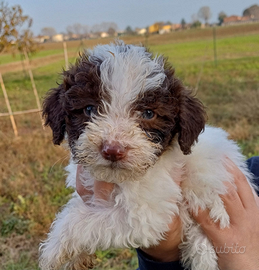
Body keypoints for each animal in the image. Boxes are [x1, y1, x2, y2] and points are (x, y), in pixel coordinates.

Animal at [40, 40, 256, 270]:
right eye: (89, 109)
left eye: (149, 114)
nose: (112, 150)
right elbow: (77, 209)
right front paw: (73, 258)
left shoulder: (146, 215)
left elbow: (82, 220)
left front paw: (53, 250)